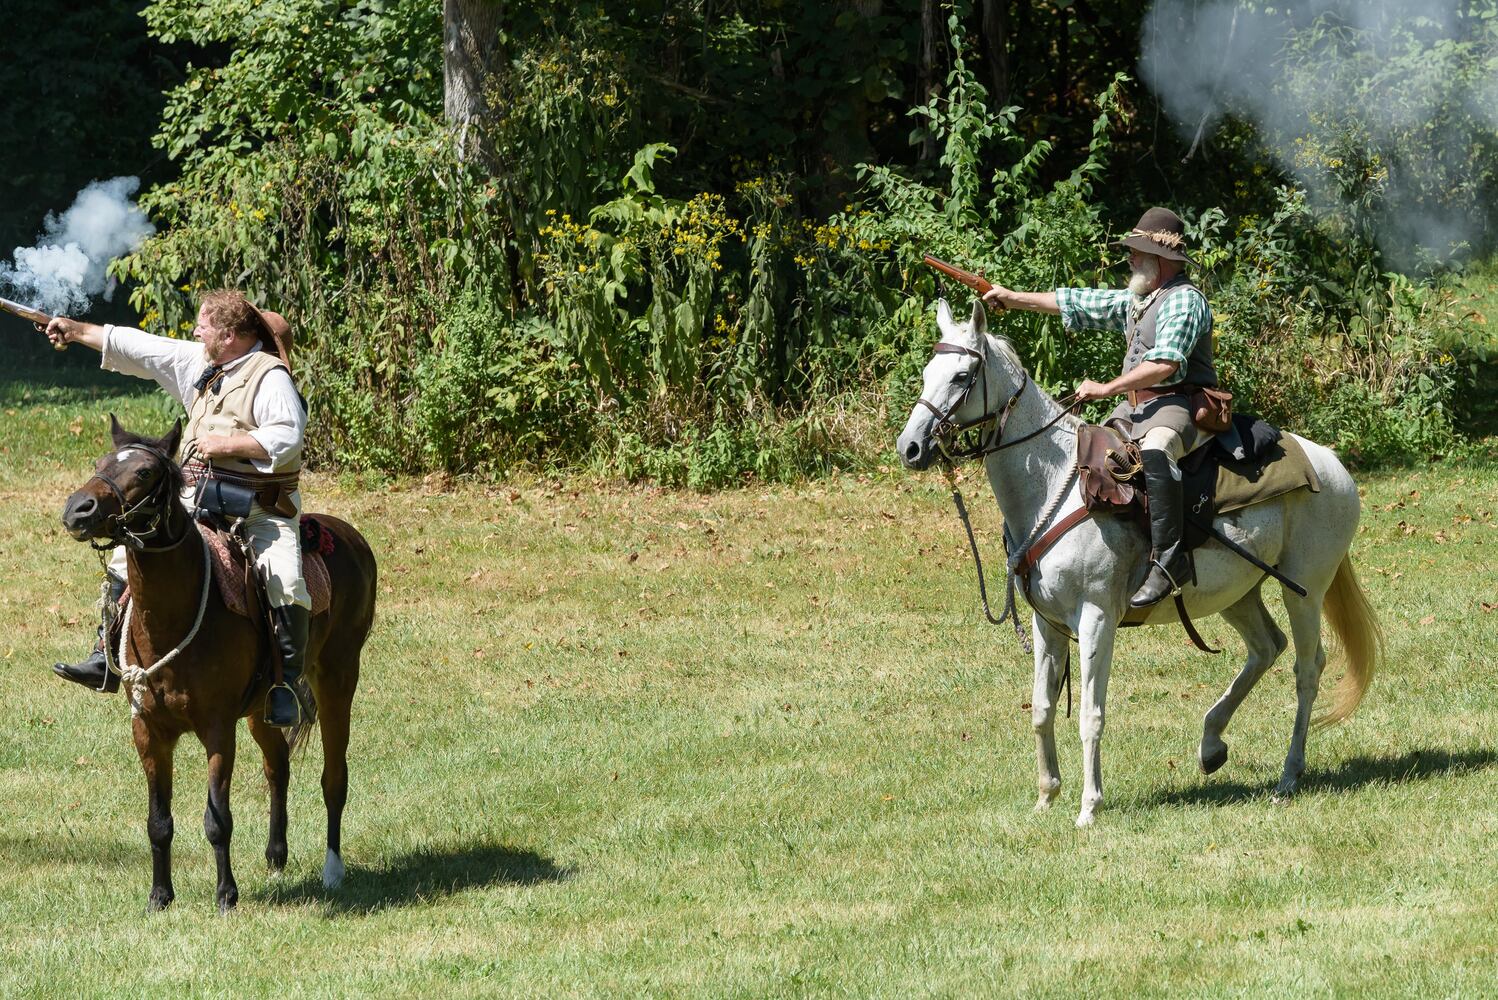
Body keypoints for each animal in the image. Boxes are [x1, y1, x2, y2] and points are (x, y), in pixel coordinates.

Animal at [62, 419, 380, 910]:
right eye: (101, 463)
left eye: (145, 472)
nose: (78, 510)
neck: (176, 617)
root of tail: (350, 537)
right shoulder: (149, 731)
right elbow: (159, 821)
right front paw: (160, 896)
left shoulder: (217, 729)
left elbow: (217, 819)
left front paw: (226, 895)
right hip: (263, 709)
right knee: (278, 765)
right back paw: (276, 855)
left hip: (338, 680)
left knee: (334, 778)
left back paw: (332, 870)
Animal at [886, 299, 1378, 826]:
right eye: (927, 372)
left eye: (962, 375)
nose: (910, 447)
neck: (1055, 485)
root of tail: (1330, 463)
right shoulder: (1047, 624)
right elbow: (1041, 708)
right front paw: (1045, 796)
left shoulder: (1096, 617)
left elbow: (1090, 714)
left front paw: (1088, 807)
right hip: (1238, 592)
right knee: (1267, 648)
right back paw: (1211, 745)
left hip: (1303, 588)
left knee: (1307, 670)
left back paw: (1288, 776)